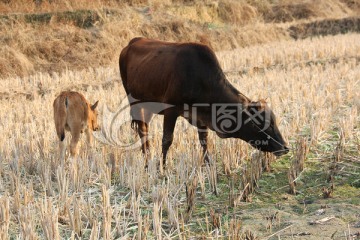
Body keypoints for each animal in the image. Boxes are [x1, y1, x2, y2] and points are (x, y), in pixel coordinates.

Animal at [119, 37, 288, 168]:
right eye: (263, 124)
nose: (285, 148)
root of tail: (132, 43)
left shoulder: (201, 115)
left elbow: (204, 140)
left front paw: (208, 163)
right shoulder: (171, 111)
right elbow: (167, 140)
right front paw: (163, 167)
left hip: (147, 105)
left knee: (144, 128)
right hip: (134, 102)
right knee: (142, 129)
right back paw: (147, 160)